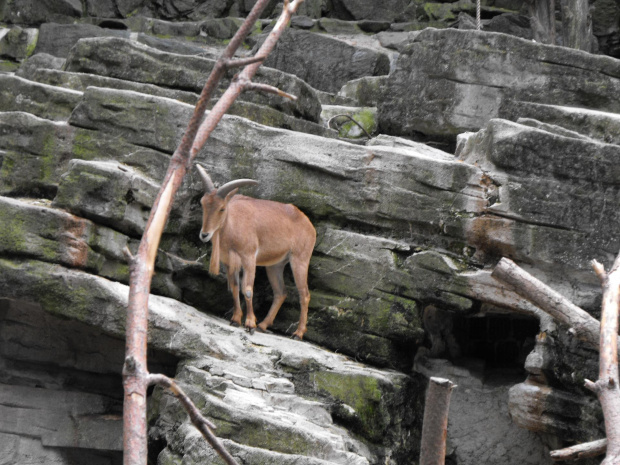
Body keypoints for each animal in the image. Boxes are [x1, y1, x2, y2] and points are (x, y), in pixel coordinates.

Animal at [196, 165, 318, 338]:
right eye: (203, 203)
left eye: (222, 208)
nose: (204, 235)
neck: (233, 225)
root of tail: (309, 225)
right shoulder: (229, 262)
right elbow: (234, 286)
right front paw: (236, 320)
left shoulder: (249, 258)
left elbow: (247, 289)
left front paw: (249, 324)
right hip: (275, 265)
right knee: (281, 292)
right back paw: (263, 325)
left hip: (300, 259)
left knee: (304, 294)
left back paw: (298, 333)